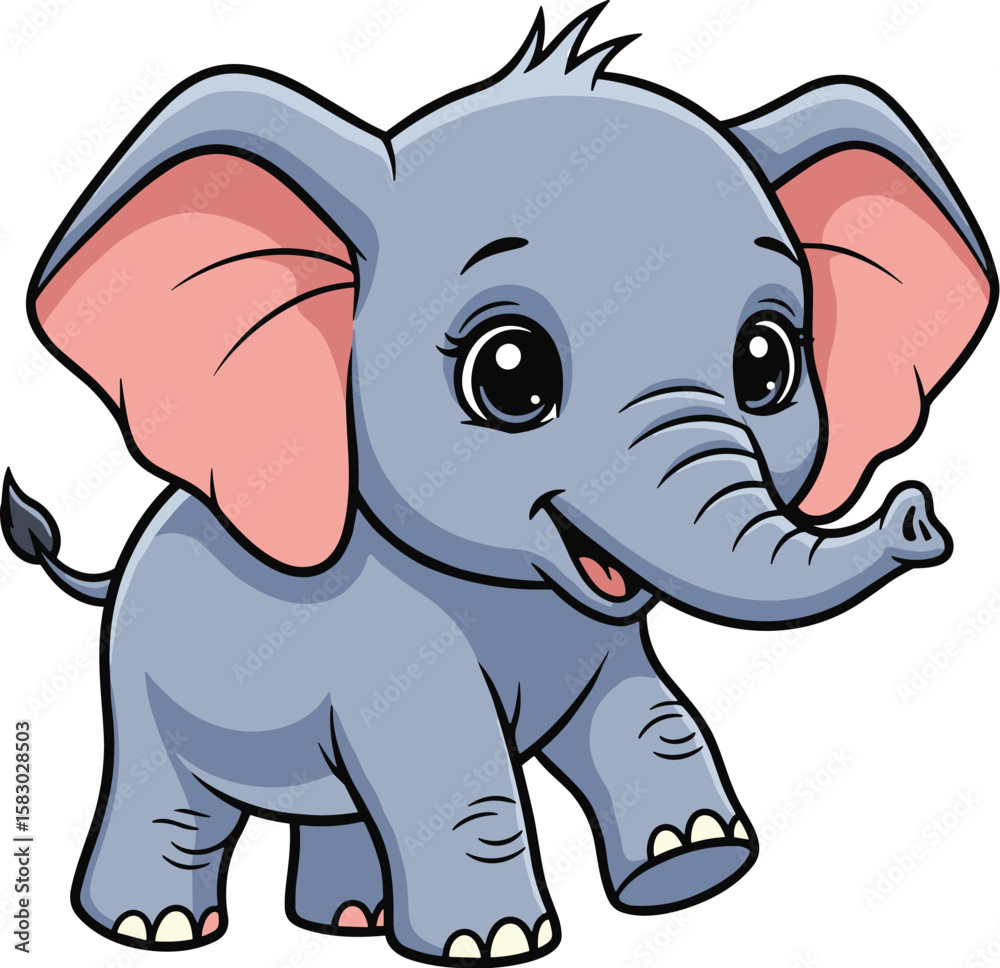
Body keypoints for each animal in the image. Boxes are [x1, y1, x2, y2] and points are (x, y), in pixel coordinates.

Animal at [3, 4, 995, 964]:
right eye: (510, 373)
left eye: (769, 362)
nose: (919, 517)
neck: (513, 589)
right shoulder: (387, 640)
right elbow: (453, 764)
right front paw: (497, 943)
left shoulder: (596, 637)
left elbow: (649, 717)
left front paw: (693, 865)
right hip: (139, 682)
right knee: (171, 798)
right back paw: (155, 930)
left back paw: (349, 922)